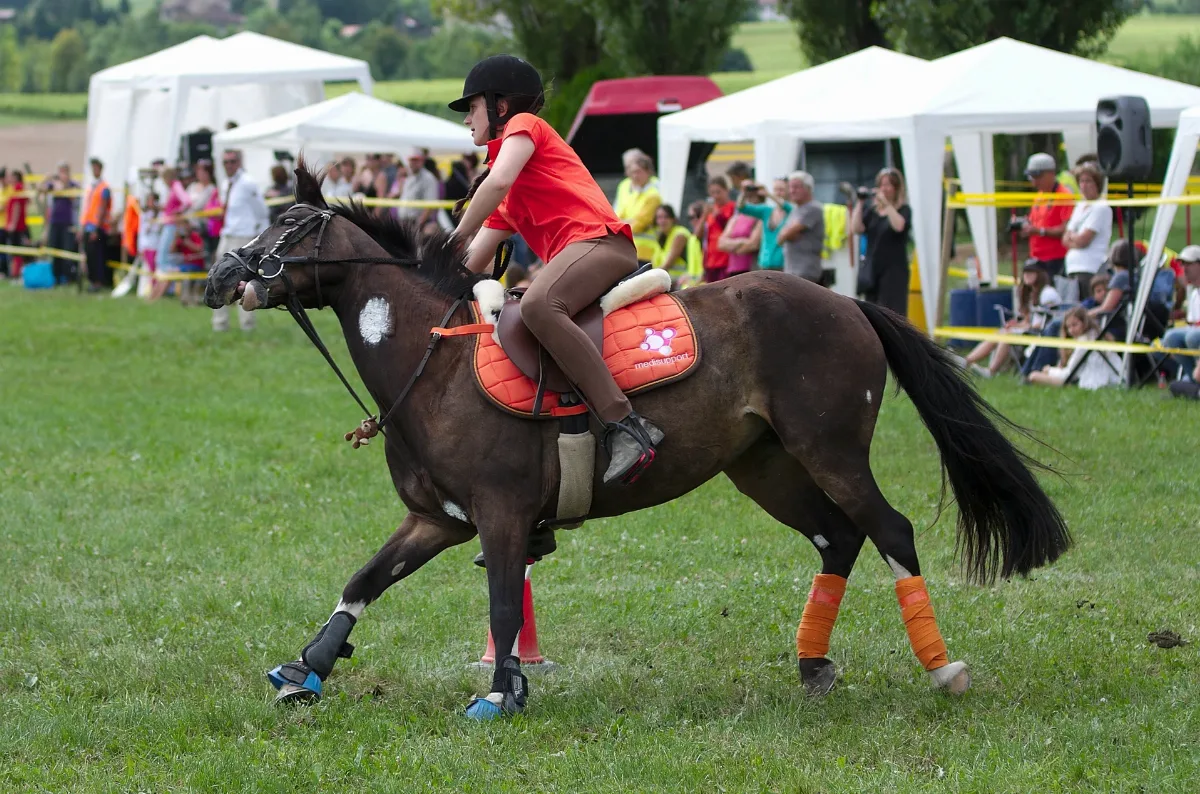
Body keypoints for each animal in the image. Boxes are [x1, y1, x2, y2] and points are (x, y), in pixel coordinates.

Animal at [204, 163, 1070, 719]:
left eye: (289, 225)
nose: (218, 277)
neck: (434, 357)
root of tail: (848, 303)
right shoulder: (436, 520)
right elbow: (363, 582)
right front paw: (306, 670)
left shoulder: (500, 516)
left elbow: (502, 606)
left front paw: (501, 692)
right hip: (763, 465)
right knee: (838, 538)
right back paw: (813, 664)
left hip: (831, 450)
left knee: (890, 531)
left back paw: (943, 669)